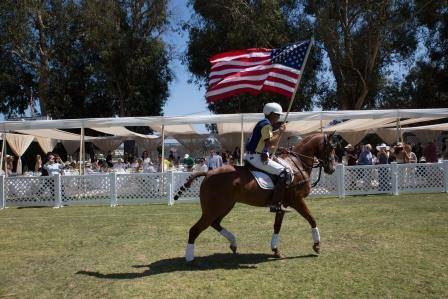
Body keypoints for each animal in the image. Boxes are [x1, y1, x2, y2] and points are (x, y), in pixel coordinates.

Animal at [174, 133, 336, 262]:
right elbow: (312, 219)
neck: (298, 164)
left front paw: (275, 250)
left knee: (215, 223)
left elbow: (277, 226)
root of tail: (208, 173)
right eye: (331, 148)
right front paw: (317, 246)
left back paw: (233, 243)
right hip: (213, 208)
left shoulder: (282, 205)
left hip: (226, 206)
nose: (332, 169)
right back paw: (189, 258)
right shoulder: (297, 201)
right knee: (195, 229)